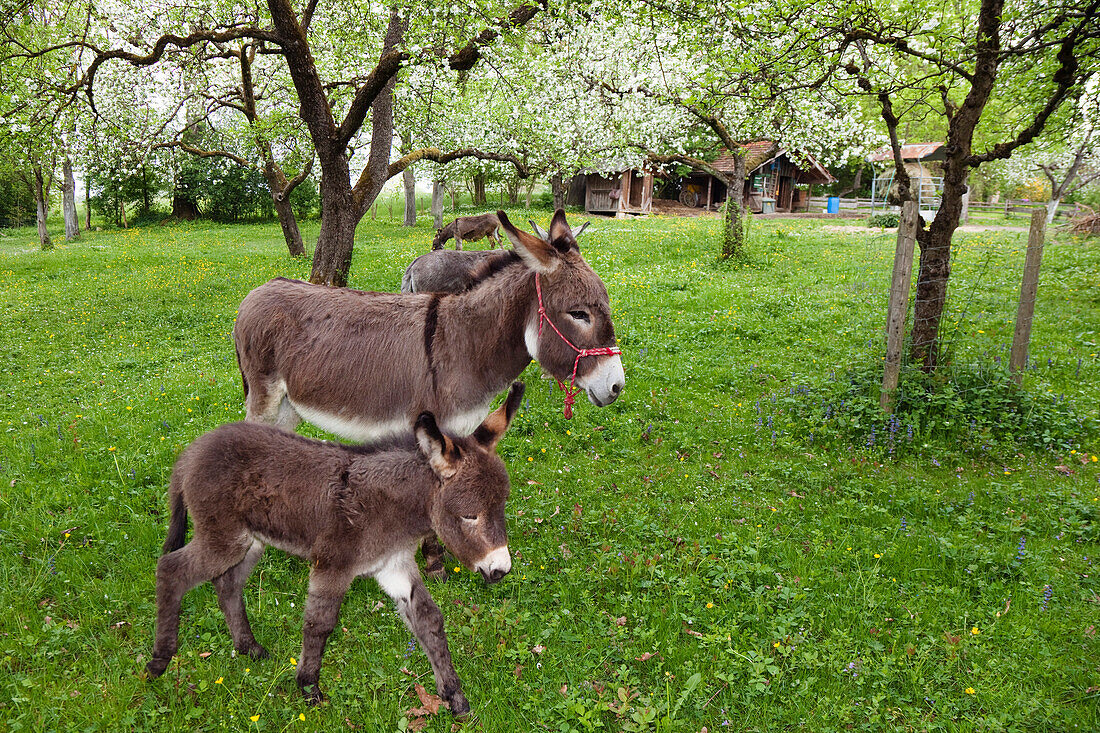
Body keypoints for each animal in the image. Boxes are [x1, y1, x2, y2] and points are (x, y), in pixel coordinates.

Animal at [145, 378, 523, 708]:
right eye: (470, 516)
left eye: (501, 506)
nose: (501, 569)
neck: (393, 508)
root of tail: (192, 451)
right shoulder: (333, 564)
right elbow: (319, 623)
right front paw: (308, 687)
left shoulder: (394, 565)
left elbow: (430, 621)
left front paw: (454, 696)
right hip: (224, 538)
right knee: (172, 569)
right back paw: (159, 662)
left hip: (251, 540)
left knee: (227, 583)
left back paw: (248, 648)